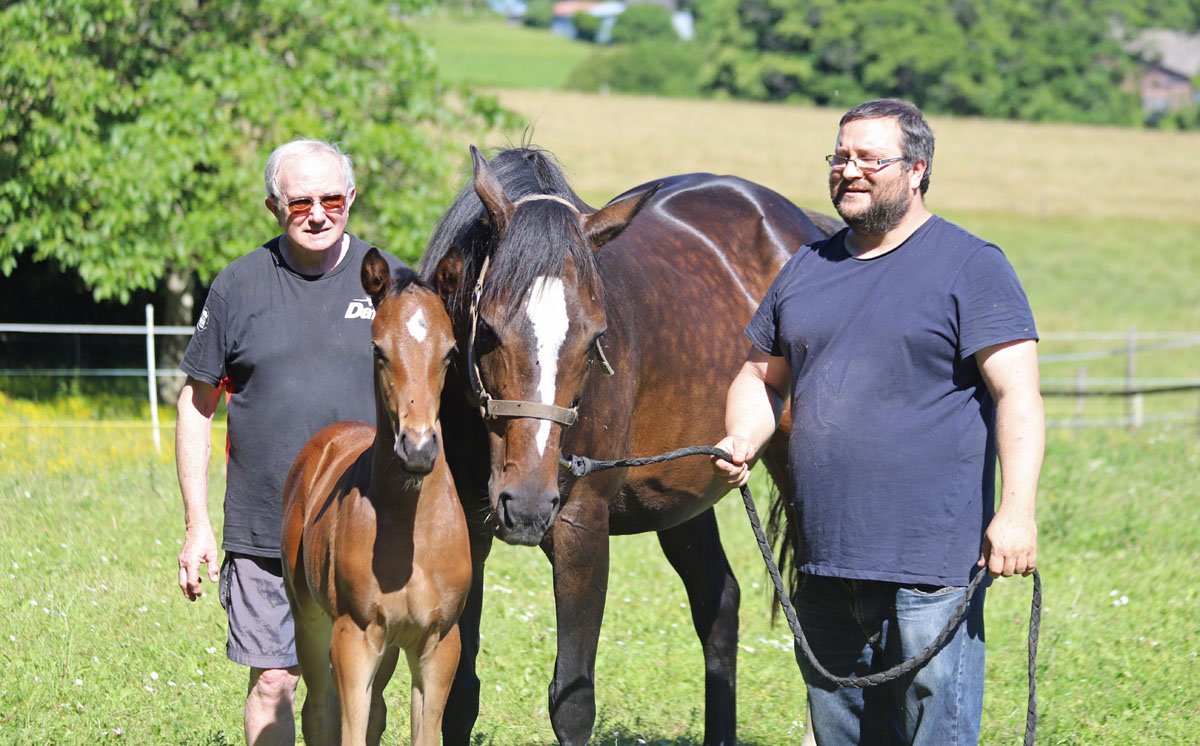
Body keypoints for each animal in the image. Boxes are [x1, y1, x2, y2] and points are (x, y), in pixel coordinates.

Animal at [281, 248, 471, 746]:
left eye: (451, 352)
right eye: (378, 350)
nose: (418, 449)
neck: (411, 534)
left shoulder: (439, 643)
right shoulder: (355, 636)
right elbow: (346, 726)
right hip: (310, 618)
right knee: (319, 711)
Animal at [420, 145, 838, 745]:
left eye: (596, 338)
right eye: (490, 330)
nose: (527, 505)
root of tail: (804, 224)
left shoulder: (582, 529)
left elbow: (572, 702)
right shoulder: (470, 532)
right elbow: (460, 694)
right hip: (685, 493)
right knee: (719, 605)